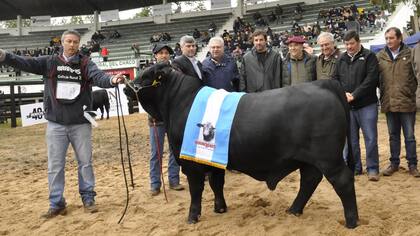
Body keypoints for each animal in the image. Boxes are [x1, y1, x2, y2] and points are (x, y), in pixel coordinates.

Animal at [130, 63, 358, 229]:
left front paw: (192, 217)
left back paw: (352, 222)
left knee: (343, 181)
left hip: (328, 157)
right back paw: (294, 210)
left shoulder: (190, 163)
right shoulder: (213, 159)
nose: (126, 86)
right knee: (309, 180)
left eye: (146, 75)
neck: (179, 102)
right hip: (309, 159)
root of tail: (323, 84)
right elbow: (216, 183)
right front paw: (220, 208)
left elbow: (196, 190)